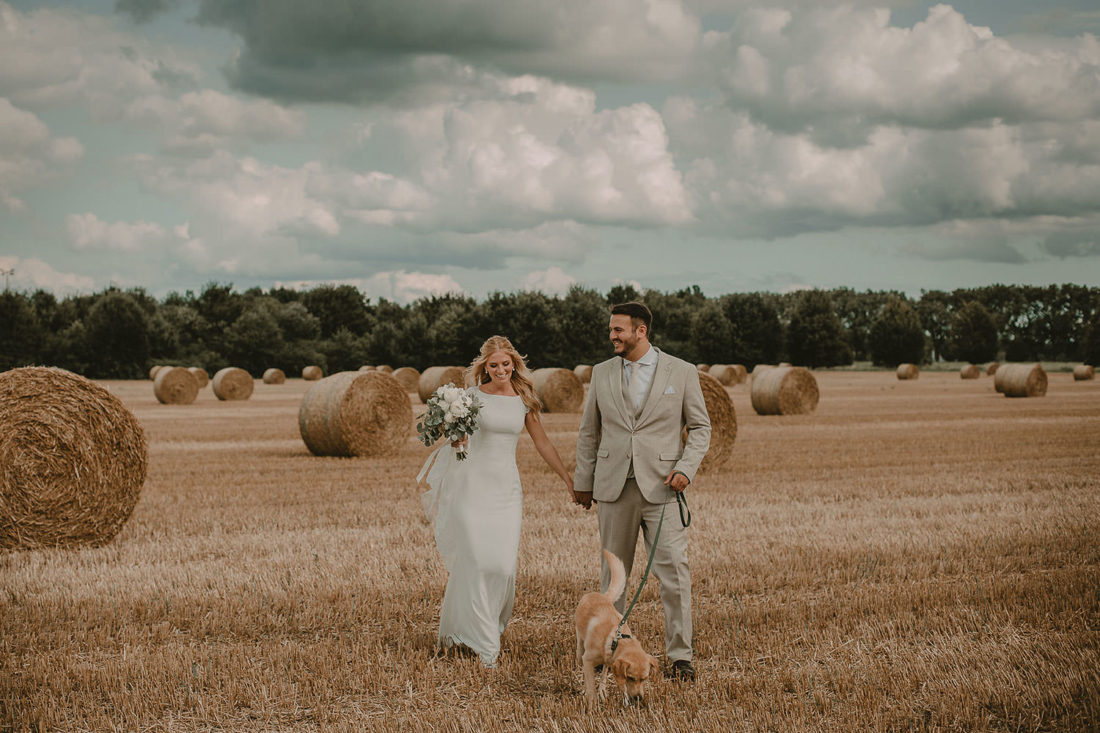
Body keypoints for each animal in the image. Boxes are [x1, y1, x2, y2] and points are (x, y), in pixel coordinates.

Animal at [576, 548, 660, 704]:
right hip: (580, 647)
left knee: (603, 673)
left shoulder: (613, 662)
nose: (638, 698)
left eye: (645, 678)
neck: (616, 639)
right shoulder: (587, 660)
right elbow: (590, 687)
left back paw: (602, 690)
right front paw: (592, 704)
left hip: (606, 661)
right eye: (631, 678)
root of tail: (602, 596)